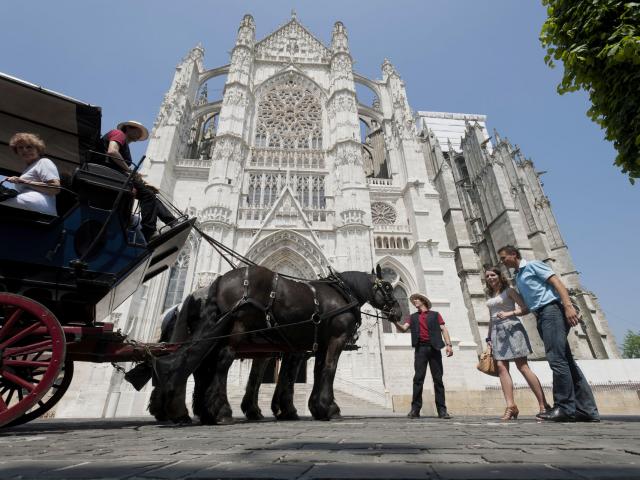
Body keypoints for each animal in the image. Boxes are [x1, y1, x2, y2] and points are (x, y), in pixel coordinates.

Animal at [149, 266, 400, 424]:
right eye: (388, 286)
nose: (398, 312)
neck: (341, 292)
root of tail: (218, 281)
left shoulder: (312, 345)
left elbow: (309, 373)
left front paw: (314, 408)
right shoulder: (332, 340)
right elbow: (326, 371)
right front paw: (328, 408)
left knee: (197, 364)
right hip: (236, 329)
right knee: (220, 362)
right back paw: (220, 412)